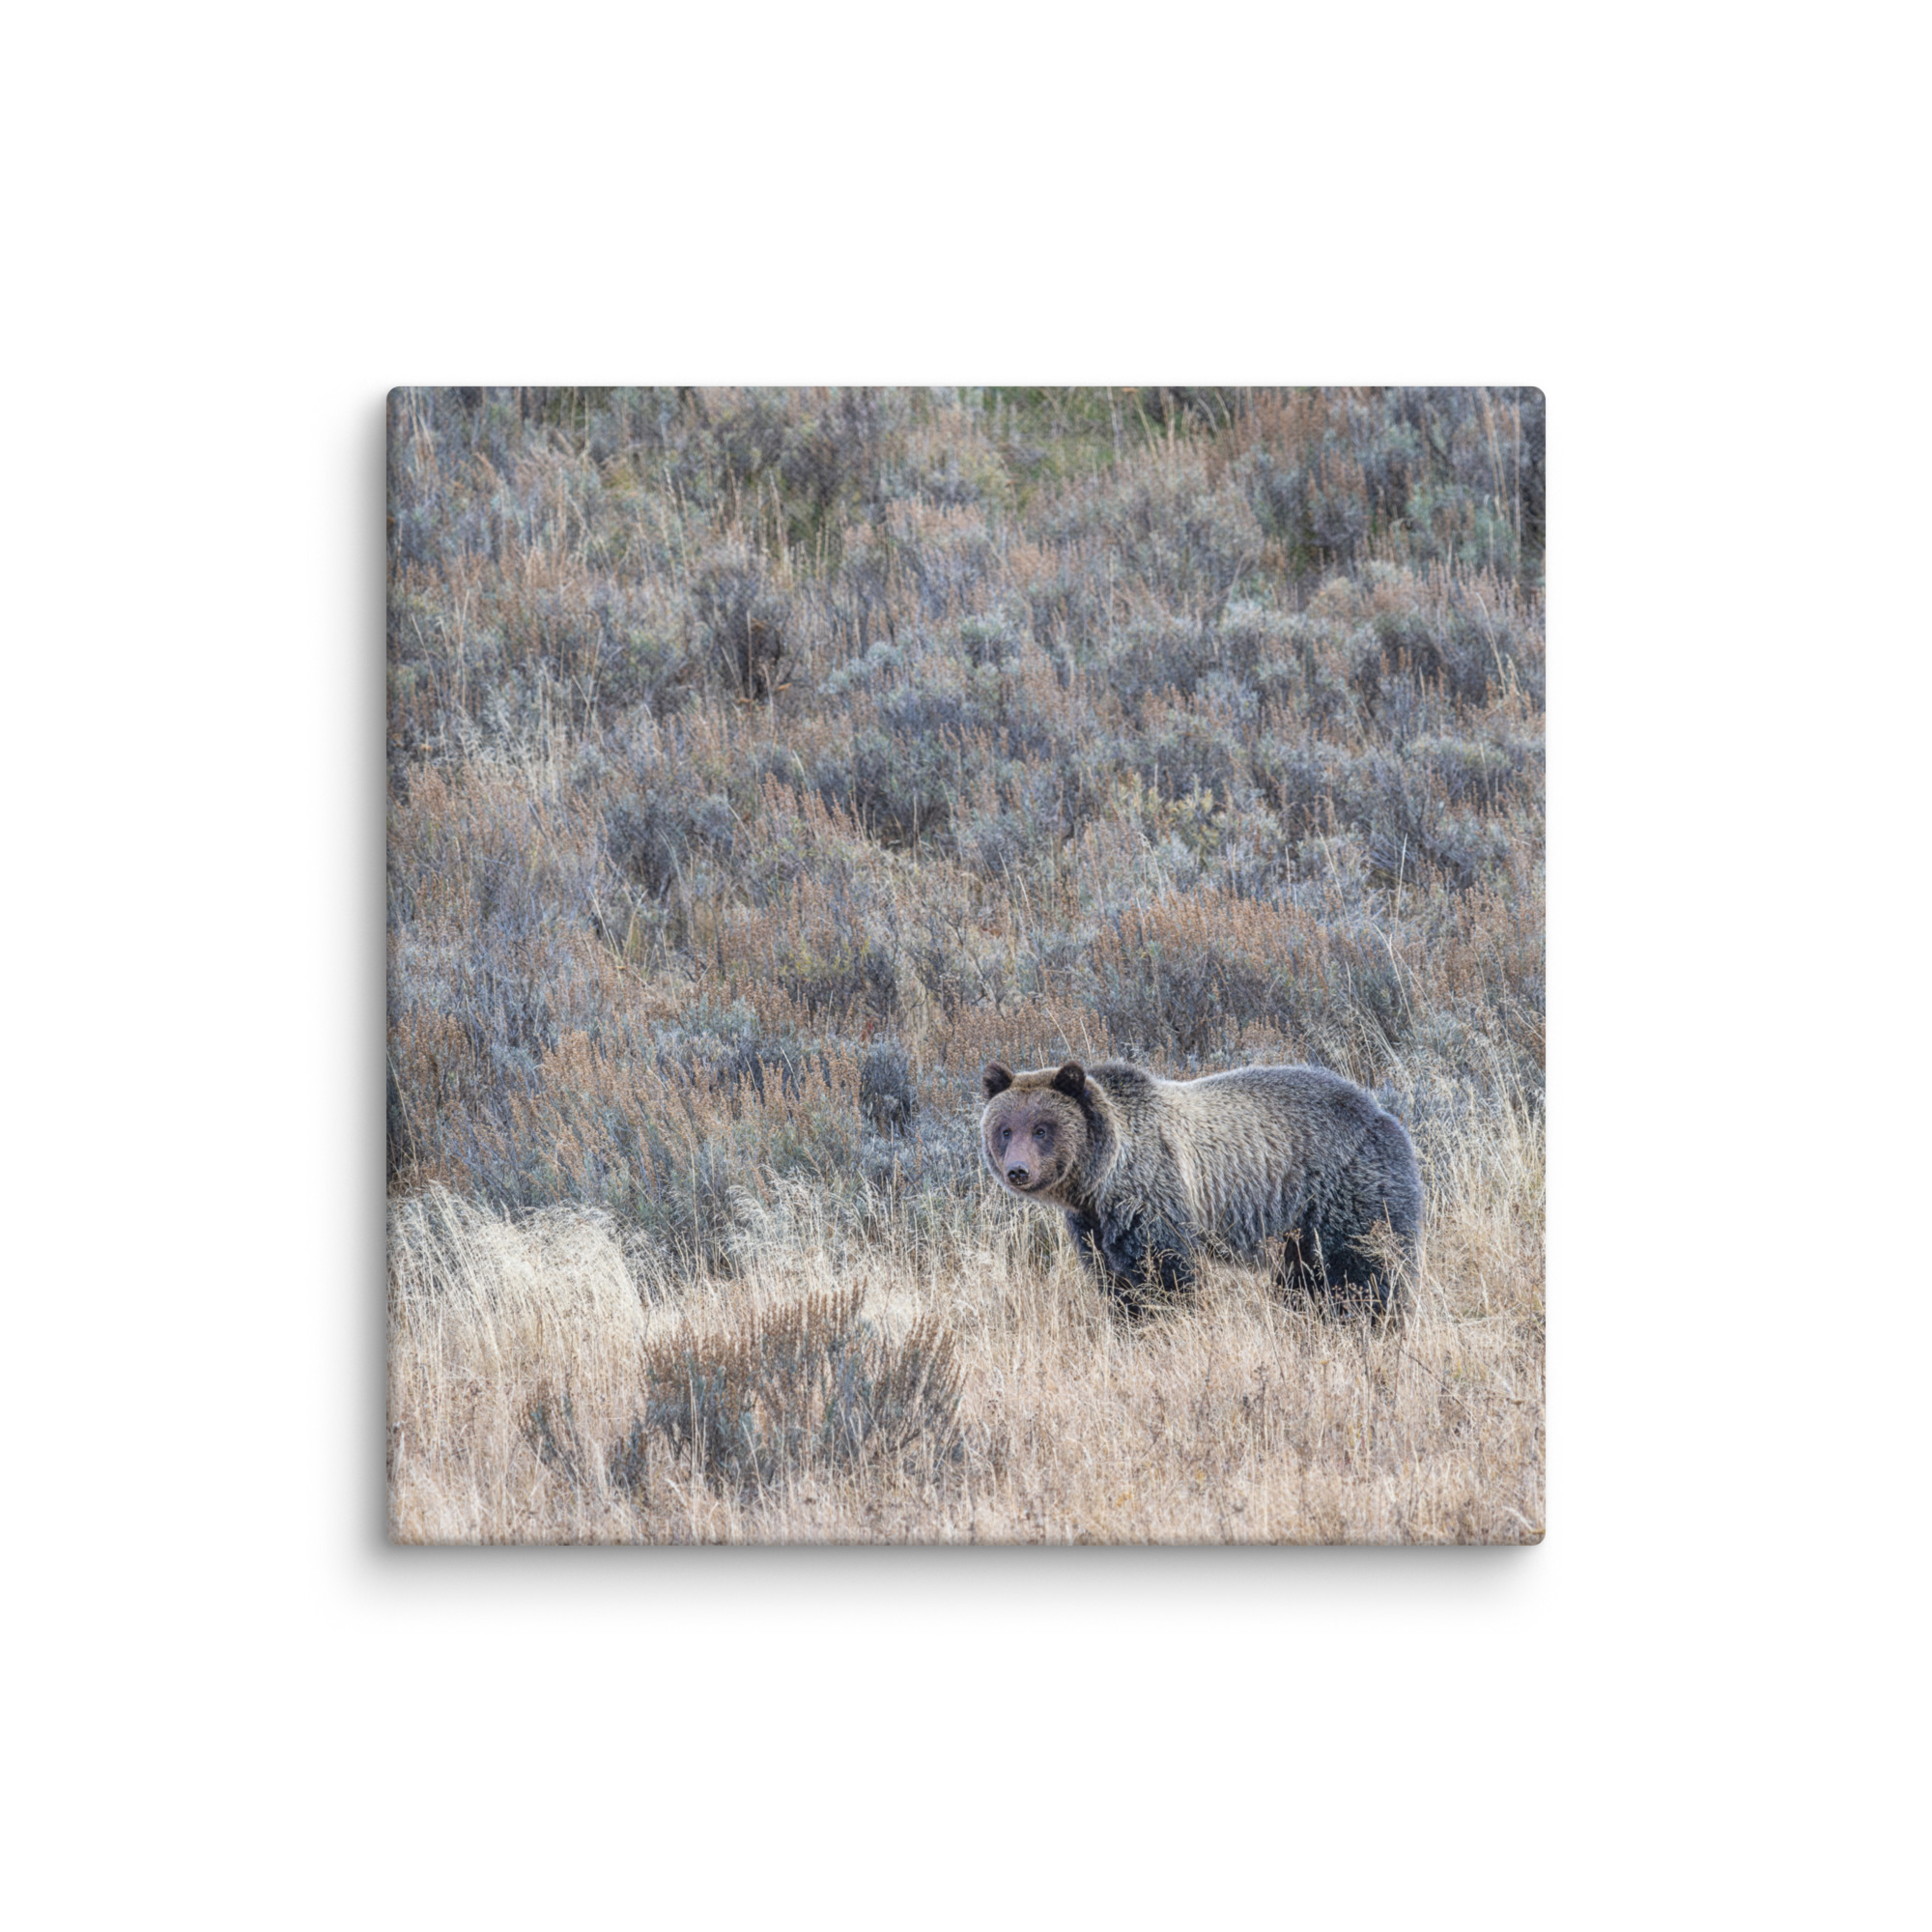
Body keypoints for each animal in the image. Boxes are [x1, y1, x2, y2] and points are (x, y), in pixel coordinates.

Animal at [979, 1057, 1422, 1319]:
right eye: (1005, 1130)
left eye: (1042, 1129)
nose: (1018, 1170)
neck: (1100, 1179)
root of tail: (1383, 1113)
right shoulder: (1093, 1225)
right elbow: (1114, 1280)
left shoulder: (1152, 1195)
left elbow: (1165, 1274)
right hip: (1299, 1227)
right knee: (1304, 1278)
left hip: (1346, 1189)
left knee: (1364, 1267)